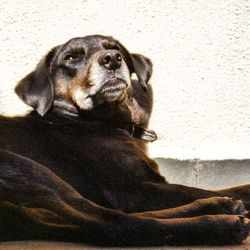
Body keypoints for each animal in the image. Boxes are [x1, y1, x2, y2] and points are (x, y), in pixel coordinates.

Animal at [0, 34, 250, 246]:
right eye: (70, 57)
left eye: (114, 48)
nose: (111, 59)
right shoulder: (130, 189)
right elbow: (196, 190)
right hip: (23, 166)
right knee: (119, 224)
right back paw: (220, 222)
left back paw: (220, 206)